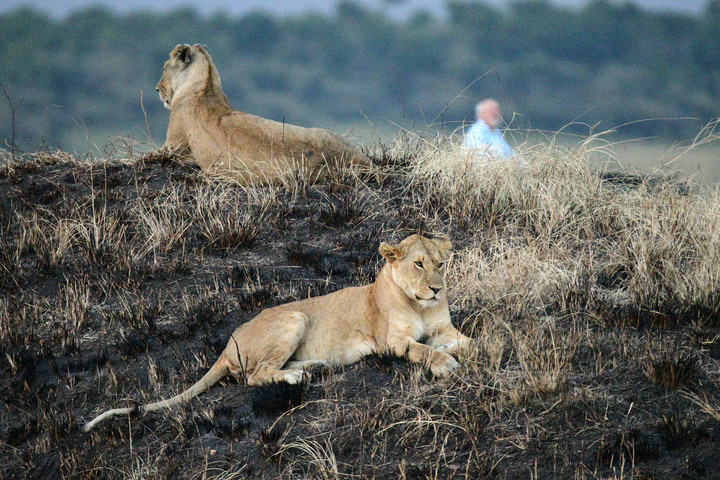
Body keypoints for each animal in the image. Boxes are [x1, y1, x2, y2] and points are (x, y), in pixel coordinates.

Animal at [83, 234, 472, 434]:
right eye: (418, 264)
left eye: (440, 264)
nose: (437, 289)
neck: (420, 306)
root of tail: (227, 345)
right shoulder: (391, 343)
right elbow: (423, 351)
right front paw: (445, 365)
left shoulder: (445, 329)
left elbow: (469, 339)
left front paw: (480, 347)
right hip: (294, 317)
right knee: (255, 376)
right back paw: (298, 375)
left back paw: (315, 368)